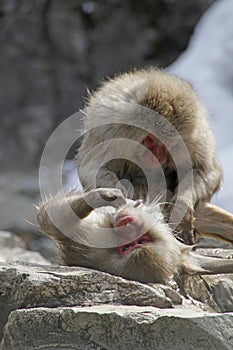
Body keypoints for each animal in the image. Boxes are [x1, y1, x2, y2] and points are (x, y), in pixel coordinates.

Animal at [76, 67, 222, 243]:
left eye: (167, 144)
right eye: (151, 140)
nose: (156, 156)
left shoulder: (195, 138)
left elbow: (207, 170)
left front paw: (181, 208)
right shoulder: (111, 130)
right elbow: (90, 168)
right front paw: (122, 195)